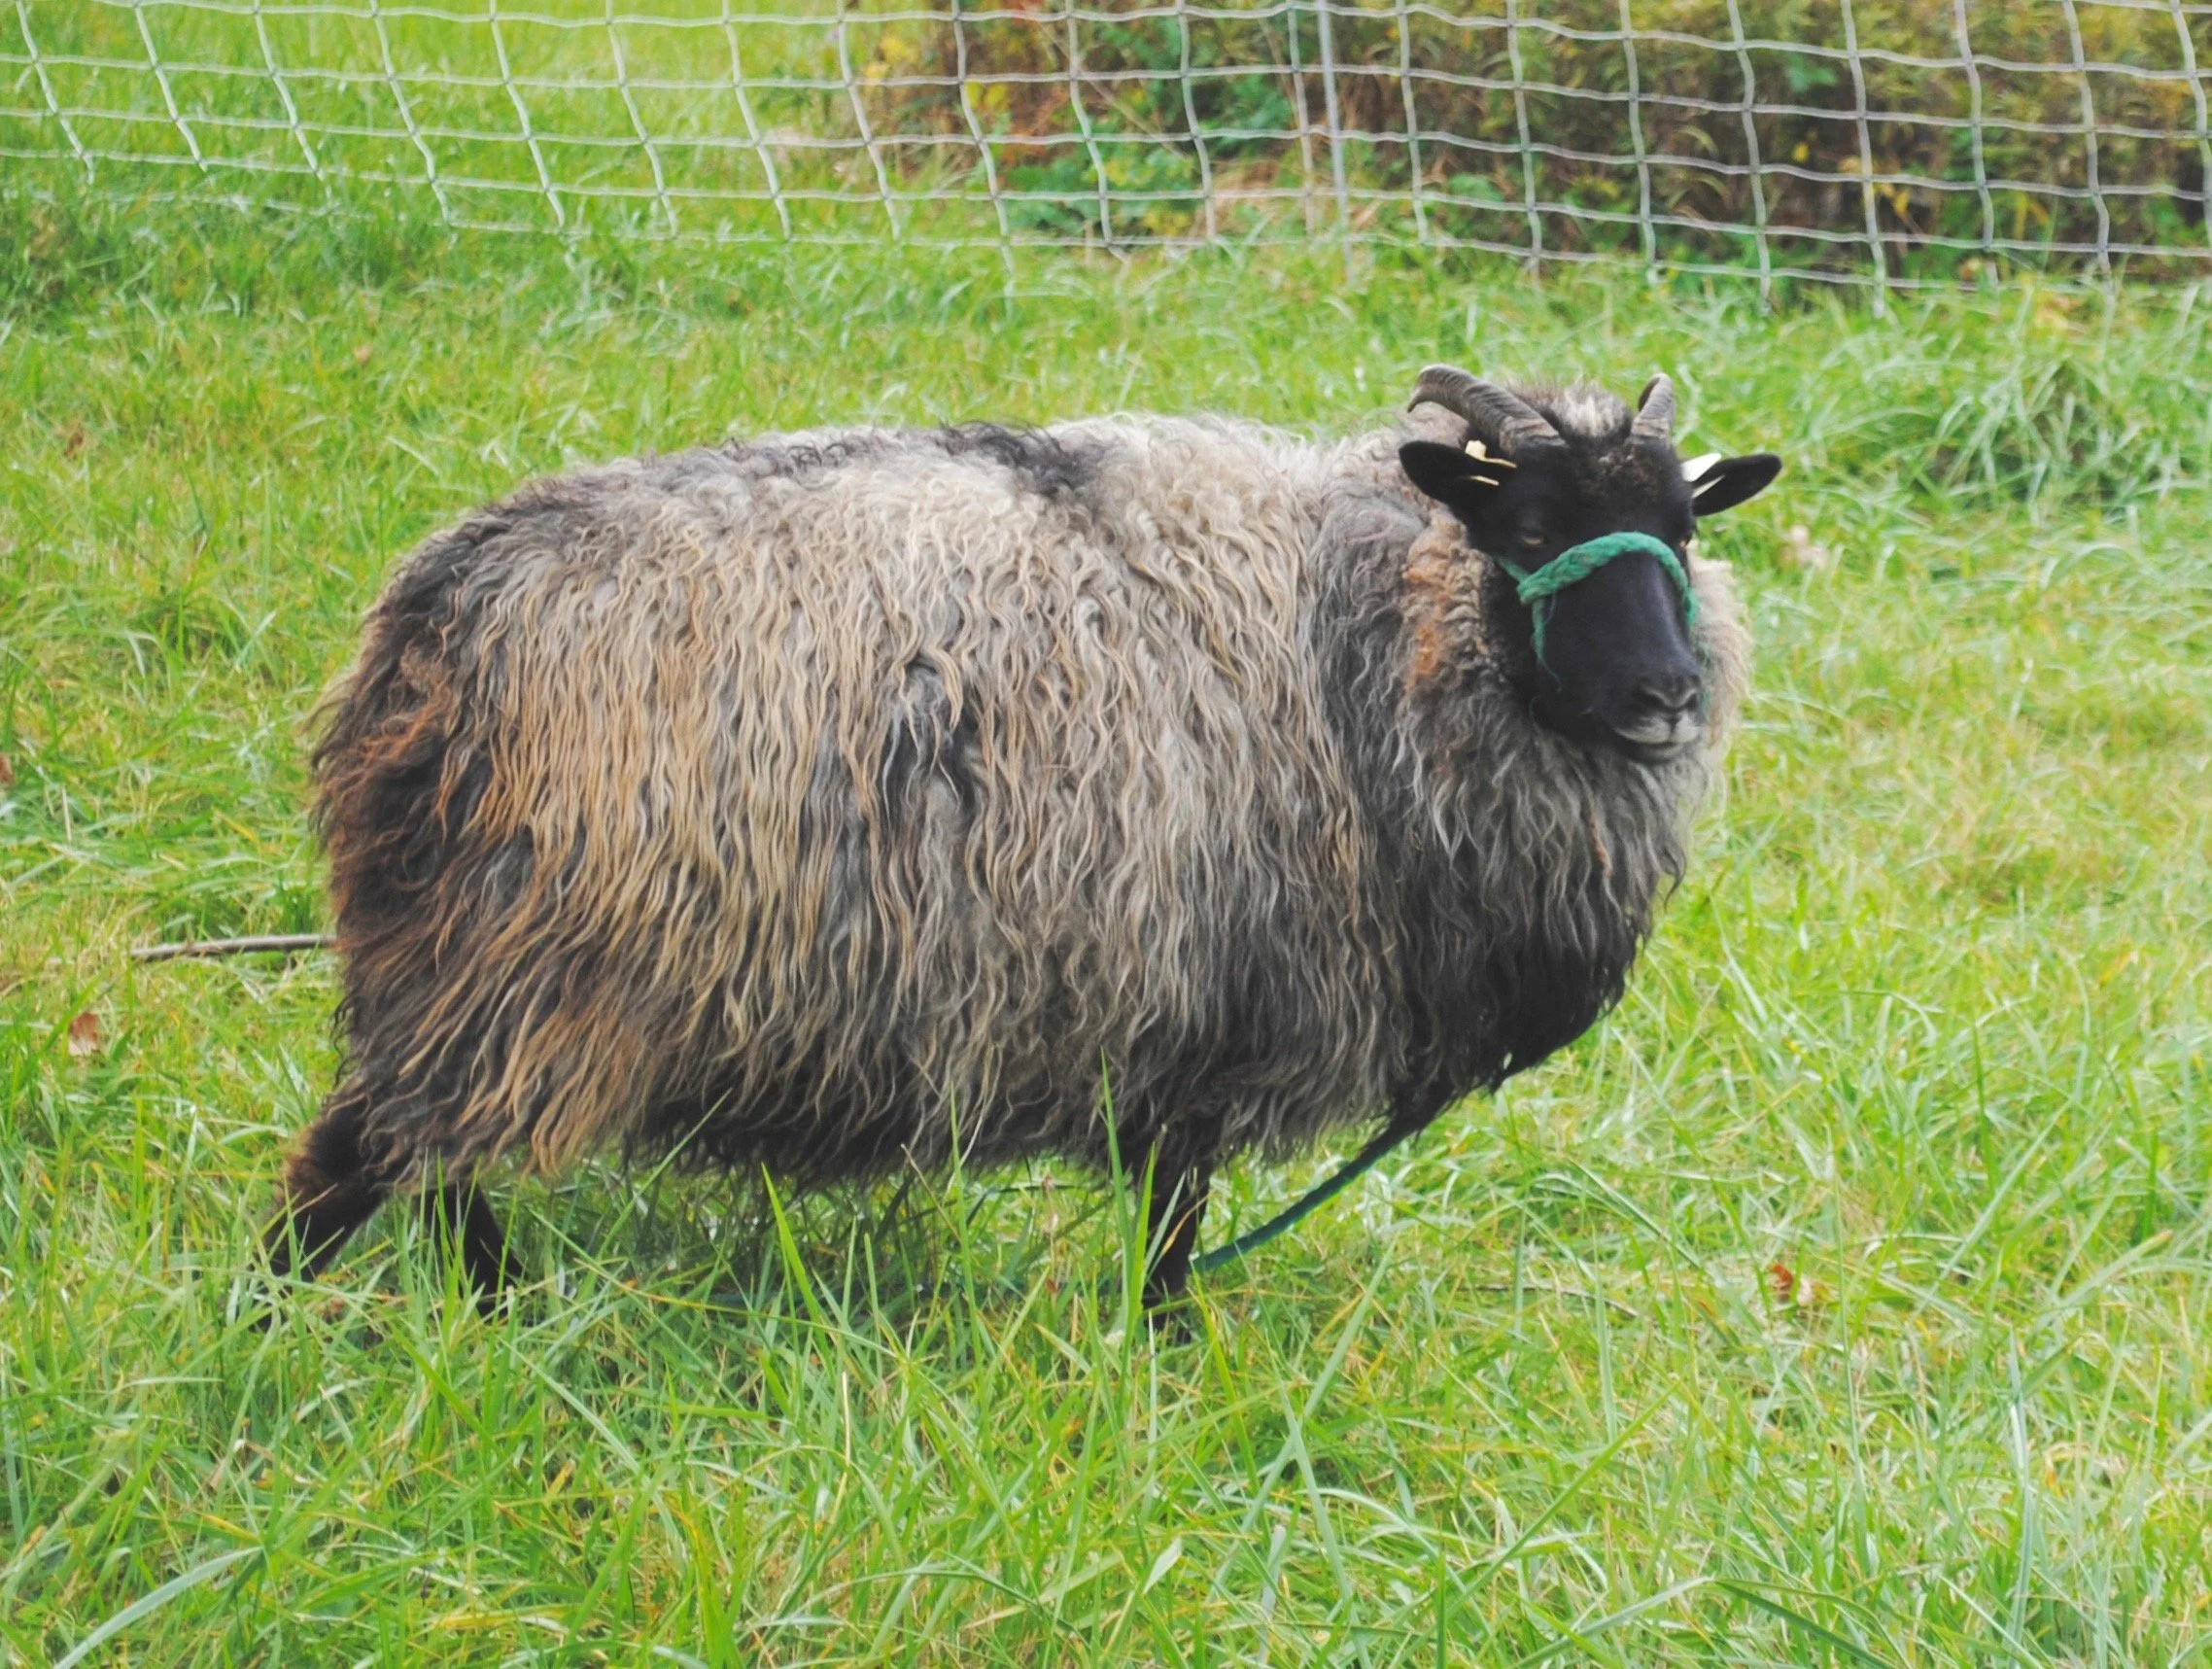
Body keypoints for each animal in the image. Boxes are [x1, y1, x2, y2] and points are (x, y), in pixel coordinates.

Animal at [265, 366, 1781, 1308]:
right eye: (1524, 527)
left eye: (1681, 529)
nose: (1665, 695)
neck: (1357, 629)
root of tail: (427, 626)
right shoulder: (1205, 1004)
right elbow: (1170, 1232)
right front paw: (1163, 1365)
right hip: (515, 965)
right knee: (356, 1167)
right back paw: (282, 1328)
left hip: (474, 973)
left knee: (431, 1170)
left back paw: (487, 1315)